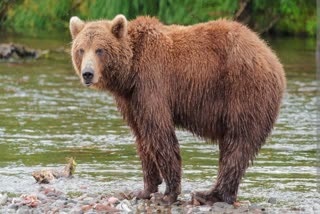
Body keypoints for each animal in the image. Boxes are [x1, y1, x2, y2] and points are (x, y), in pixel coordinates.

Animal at [69, 14, 284, 205]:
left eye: (100, 50)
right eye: (81, 49)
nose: (87, 74)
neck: (129, 72)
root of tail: (272, 56)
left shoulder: (152, 82)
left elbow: (159, 133)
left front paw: (167, 194)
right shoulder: (131, 99)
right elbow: (142, 137)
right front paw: (143, 190)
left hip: (244, 91)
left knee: (237, 143)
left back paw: (209, 195)